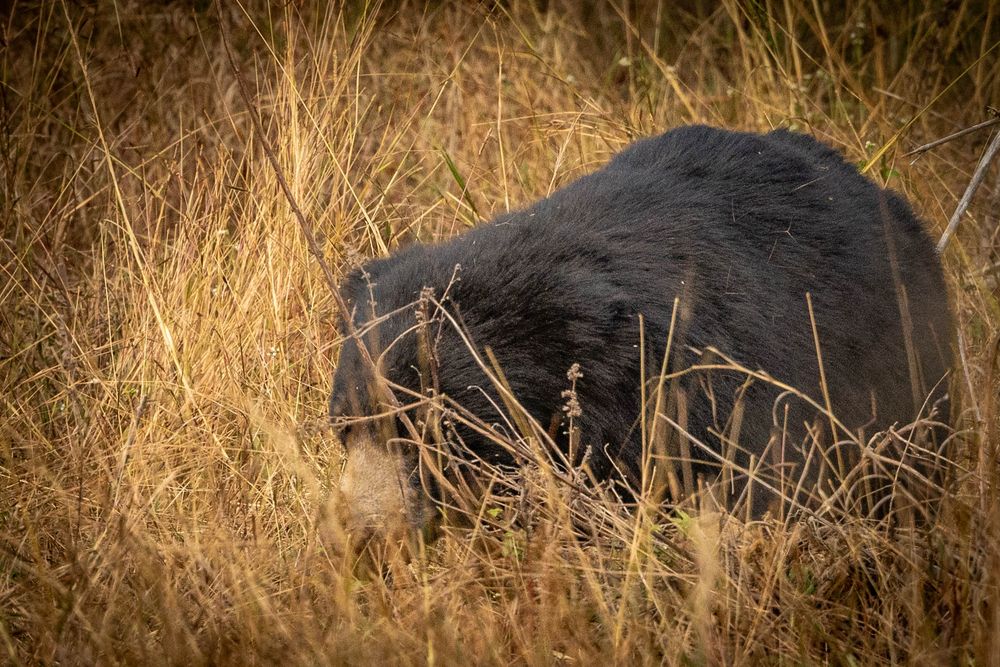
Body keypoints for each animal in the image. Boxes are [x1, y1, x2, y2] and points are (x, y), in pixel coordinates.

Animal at [328, 125, 954, 539]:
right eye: (344, 430)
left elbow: (756, 483)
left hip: (904, 367)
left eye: (430, 434)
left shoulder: (709, 391)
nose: (358, 537)